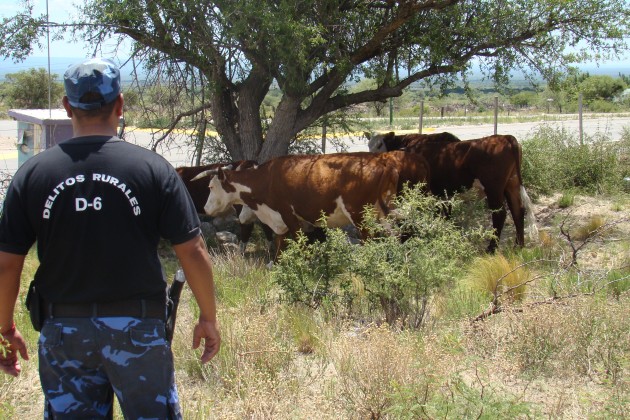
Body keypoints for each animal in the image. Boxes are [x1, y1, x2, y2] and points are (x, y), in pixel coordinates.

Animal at [368, 131, 536, 251]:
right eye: (369, 144)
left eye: (379, 144)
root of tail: (505, 137)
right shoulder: (442, 194)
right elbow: (445, 215)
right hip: (512, 184)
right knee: (518, 210)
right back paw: (518, 245)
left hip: (494, 188)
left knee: (500, 214)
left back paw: (491, 248)